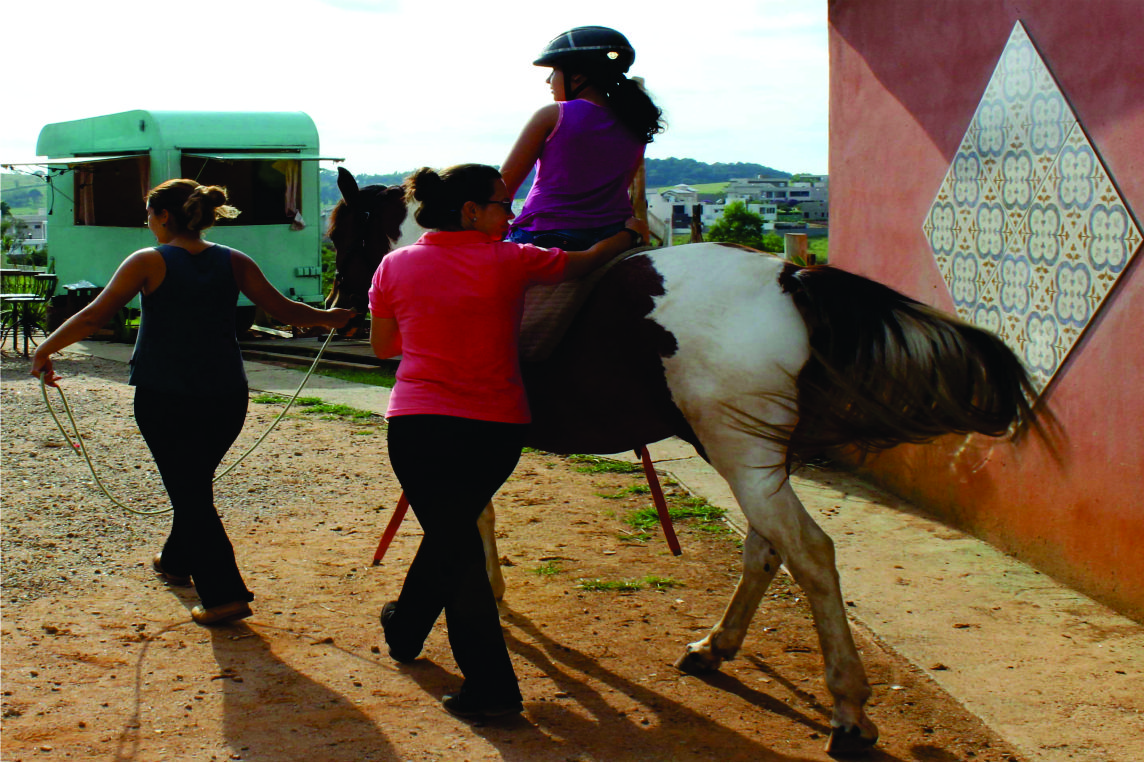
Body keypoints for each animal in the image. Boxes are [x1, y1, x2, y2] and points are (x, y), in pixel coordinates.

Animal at [325, 169, 1048, 751]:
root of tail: (787, 275)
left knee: (811, 553)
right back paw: (716, 646)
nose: (342, 311)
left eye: (342, 235)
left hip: (743, 455)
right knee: (766, 550)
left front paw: (470, 600)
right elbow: (477, 514)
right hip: (756, 456)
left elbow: (466, 519)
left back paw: (847, 709)